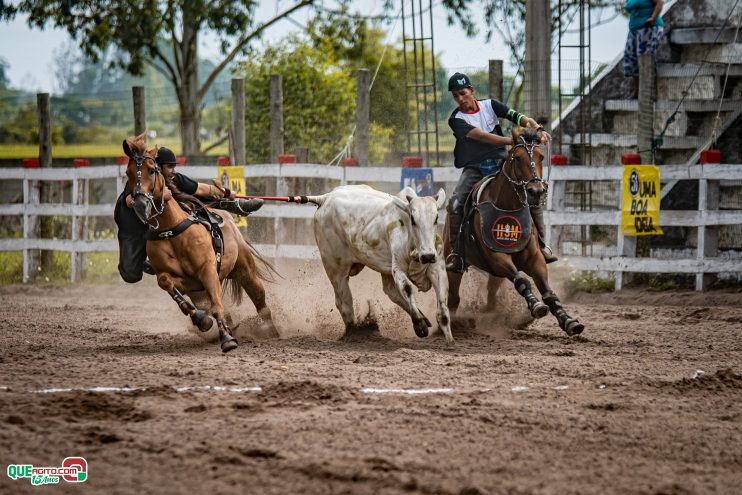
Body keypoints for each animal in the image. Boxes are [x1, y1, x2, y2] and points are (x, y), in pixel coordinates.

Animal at [123, 135, 278, 352]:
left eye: (152, 170)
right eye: (127, 173)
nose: (139, 204)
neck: (172, 229)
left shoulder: (207, 270)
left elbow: (217, 306)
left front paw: (227, 339)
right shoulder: (185, 283)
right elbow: (166, 282)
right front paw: (201, 320)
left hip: (246, 272)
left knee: (260, 304)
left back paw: (271, 332)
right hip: (202, 291)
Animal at [306, 184, 454, 342]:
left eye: (436, 218)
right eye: (413, 219)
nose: (427, 256)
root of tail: (325, 197)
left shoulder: (437, 269)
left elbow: (443, 313)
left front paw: (449, 340)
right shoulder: (397, 269)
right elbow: (407, 288)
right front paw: (419, 324)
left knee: (391, 292)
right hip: (335, 270)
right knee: (344, 303)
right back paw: (354, 333)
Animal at [448, 128, 588, 338]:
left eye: (540, 156)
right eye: (518, 157)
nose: (536, 191)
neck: (507, 207)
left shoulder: (535, 258)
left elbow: (548, 292)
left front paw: (568, 320)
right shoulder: (497, 258)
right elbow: (521, 280)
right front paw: (536, 305)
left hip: (494, 275)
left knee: (491, 295)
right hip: (453, 261)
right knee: (453, 294)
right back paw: (452, 321)